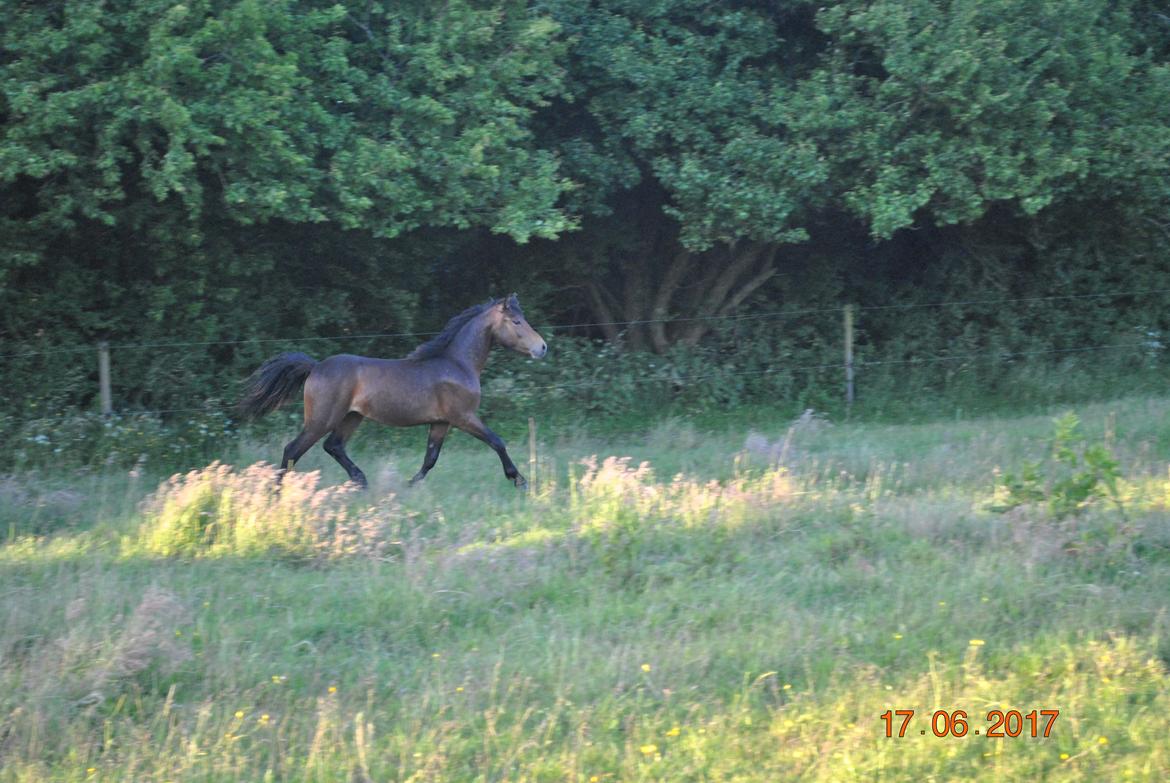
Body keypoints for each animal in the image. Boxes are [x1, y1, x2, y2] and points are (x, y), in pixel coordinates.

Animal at [241, 294, 547, 489]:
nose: (542, 347)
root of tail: (315, 367)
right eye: (516, 322)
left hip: (351, 417)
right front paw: (518, 480)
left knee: (333, 446)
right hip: (322, 419)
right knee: (293, 449)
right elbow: (497, 441)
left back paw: (361, 481)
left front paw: (408, 485)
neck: (458, 364)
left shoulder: (441, 422)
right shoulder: (463, 417)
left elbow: (430, 459)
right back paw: (277, 494)